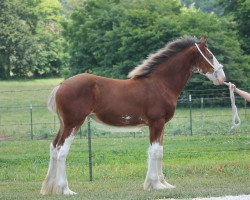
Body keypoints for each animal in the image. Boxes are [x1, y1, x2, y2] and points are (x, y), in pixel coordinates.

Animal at [41, 36, 227, 195]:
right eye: (210, 56)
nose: (222, 77)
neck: (160, 84)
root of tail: (61, 85)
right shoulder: (156, 122)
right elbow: (154, 152)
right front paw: (155, 185)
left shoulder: (161, 125)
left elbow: (159, 151)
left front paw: (164, 184)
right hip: (74, 123)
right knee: (62, 151)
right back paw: (65, 189)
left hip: (64, 124)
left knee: (54, 147)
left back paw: (49, 188)